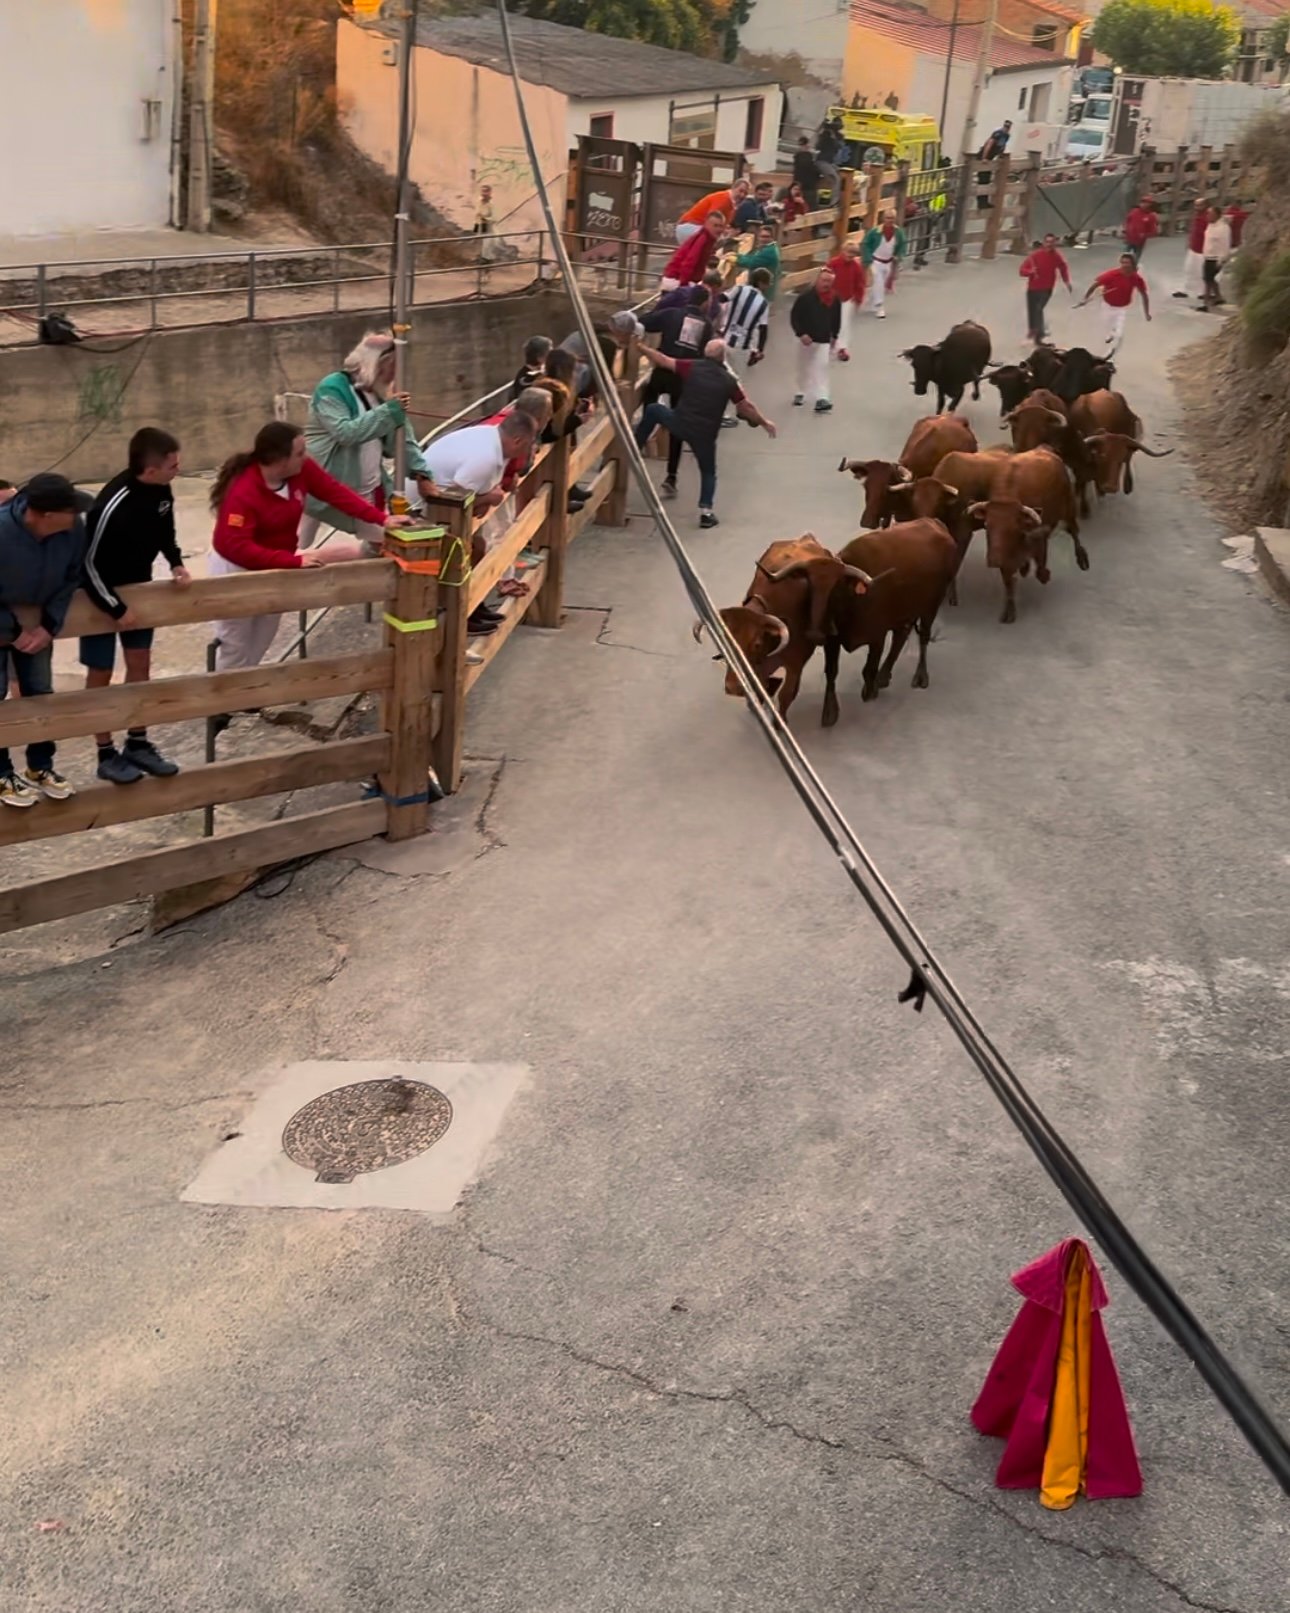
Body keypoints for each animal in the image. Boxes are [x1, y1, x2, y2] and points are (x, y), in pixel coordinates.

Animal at [967, 448, 1090, 622]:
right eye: (986, 525)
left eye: (1014, 527)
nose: (994, 560)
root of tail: (1045, 450)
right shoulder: (1006, 559)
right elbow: (1009, 582)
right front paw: (1009, 612)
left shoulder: (1039, 536)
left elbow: (1040, 567)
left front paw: (1044, 574)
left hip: (1068, 507)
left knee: (1073, 531)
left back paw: (1082, 558)